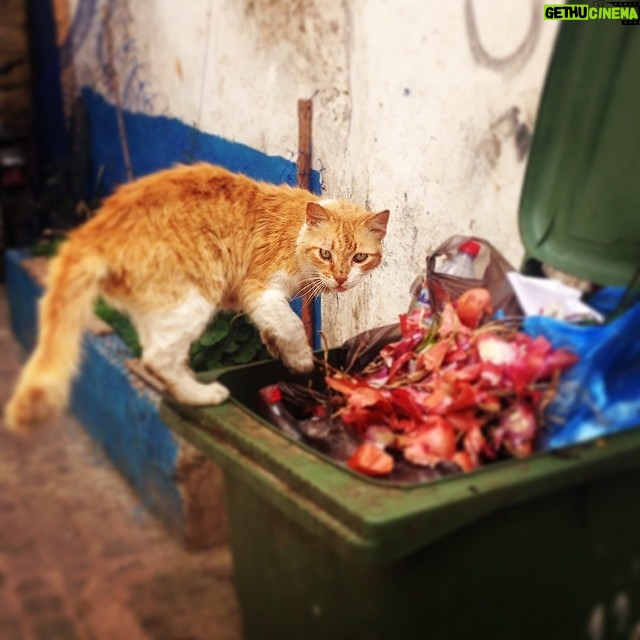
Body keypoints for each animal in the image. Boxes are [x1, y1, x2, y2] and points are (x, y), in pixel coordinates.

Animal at [3, 162, 390, 432]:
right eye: (326, 254)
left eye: (359, 258)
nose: (340, 278)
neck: (295, 230)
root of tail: (94, 229)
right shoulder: (260, 289)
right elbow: (293, 326)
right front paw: (300, 362)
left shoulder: (260, 303)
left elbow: (276, 326)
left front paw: (277, 348)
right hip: (190, 302)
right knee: (157, 359)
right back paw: (203, 395)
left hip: (159, 308)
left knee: (152, 357)